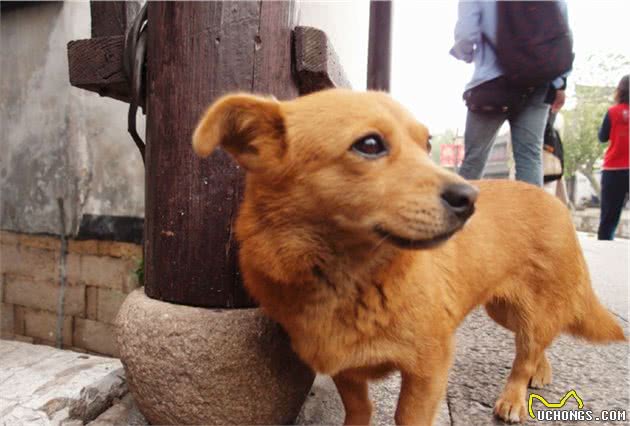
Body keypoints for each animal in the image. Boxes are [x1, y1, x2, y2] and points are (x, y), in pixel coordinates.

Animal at [193, 88, 628, 424]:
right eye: (369, 144)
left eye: (427, 144)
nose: (470, 199)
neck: (347, 277)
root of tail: (553, 200)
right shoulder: (346, 369)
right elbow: (359, 408)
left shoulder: (429, 368)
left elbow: (408, 416)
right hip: (503, 309)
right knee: (539, 342)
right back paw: (543, 369)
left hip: (533, 308)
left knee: (527, 350)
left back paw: (515, 396)